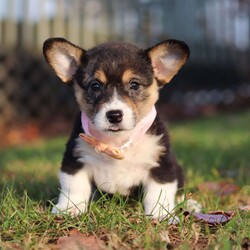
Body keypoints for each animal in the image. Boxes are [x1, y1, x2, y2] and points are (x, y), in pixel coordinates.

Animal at [43, 37, 189, 221]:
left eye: (134, 85)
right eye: (95, 86)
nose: (114, 115)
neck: (116, 141)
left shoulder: (161, 163)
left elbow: (159, 193)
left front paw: (161, 215)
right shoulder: (75, 158)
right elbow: (74, 187)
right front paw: (69, 208)